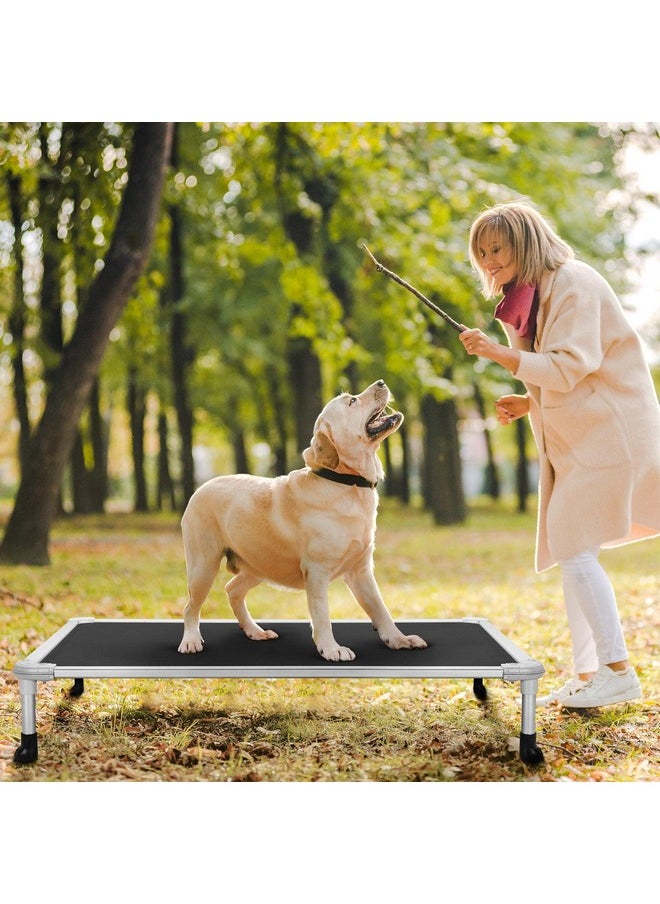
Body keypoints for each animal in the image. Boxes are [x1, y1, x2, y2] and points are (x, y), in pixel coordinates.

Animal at [178, 378, 428, 660]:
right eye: (352, 401)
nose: (381, 382)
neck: (346, 482)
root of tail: (200, 488)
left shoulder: (361, 571)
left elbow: (381, 609)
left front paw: (399, 639)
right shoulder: (317, 572)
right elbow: (322, 615)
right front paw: (332, 648)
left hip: (259, 564)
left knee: (232, 590)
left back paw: (254, 630)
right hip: (204, 565)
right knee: (190, 607)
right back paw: (191, 641)